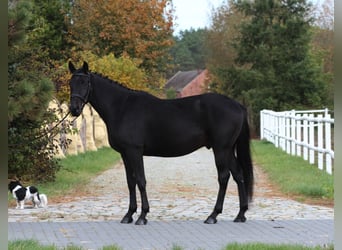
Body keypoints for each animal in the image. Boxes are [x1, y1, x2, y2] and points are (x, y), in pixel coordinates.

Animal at [68, 61, 252, 226]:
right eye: (71, 83)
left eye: (84, 82)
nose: (74, 109)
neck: (122, 107)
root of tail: (237, 105)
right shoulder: (125, 154)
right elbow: (130, 182)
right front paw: (129, 215)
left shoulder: (134, 151)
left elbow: (141, 180)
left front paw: (142, 216)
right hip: (228, 150)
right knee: (238, 175)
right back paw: (240, 214)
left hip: (221, 149)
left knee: (224, 177)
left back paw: (213, 216)